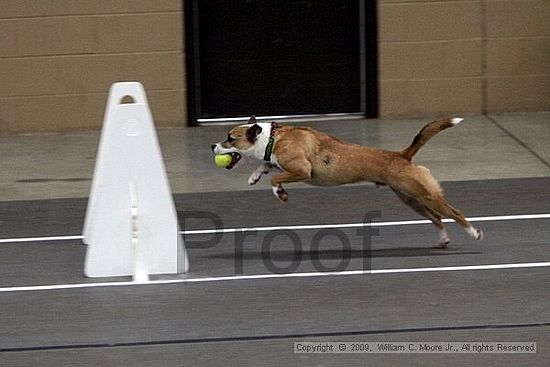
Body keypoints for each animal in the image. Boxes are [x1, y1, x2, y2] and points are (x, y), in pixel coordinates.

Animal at [213, 116, 486, 249]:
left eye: (230, 138)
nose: (212, 146)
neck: (273, 138)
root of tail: (402, 155)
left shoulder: (301, 170)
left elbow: (276, 177)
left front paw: (280, 192)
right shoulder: (279, 162)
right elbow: (267, 166)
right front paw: (254, 175)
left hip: (424, 194)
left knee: (453, 212)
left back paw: (473, 233)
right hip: (410, 199)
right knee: (436, 218)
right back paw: (443, 240)